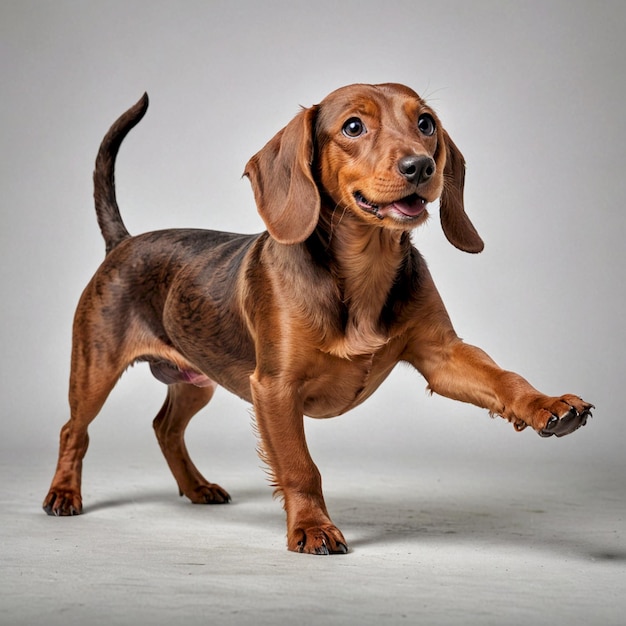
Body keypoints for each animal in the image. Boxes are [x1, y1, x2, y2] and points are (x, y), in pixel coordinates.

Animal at [42, 81, 588, 552]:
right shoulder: (274, 388)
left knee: (165, 428)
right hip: (95, 368)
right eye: (353, 127)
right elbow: (301, 468)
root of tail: (124, 242)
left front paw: (549, 405)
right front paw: (312, 528)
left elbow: (505, 379)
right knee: (74, 431)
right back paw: (64, 495)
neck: (364, 269)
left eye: (426, 123)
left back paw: (197, 487)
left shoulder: (442, 357)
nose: (421, 166)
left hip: (197, 377)